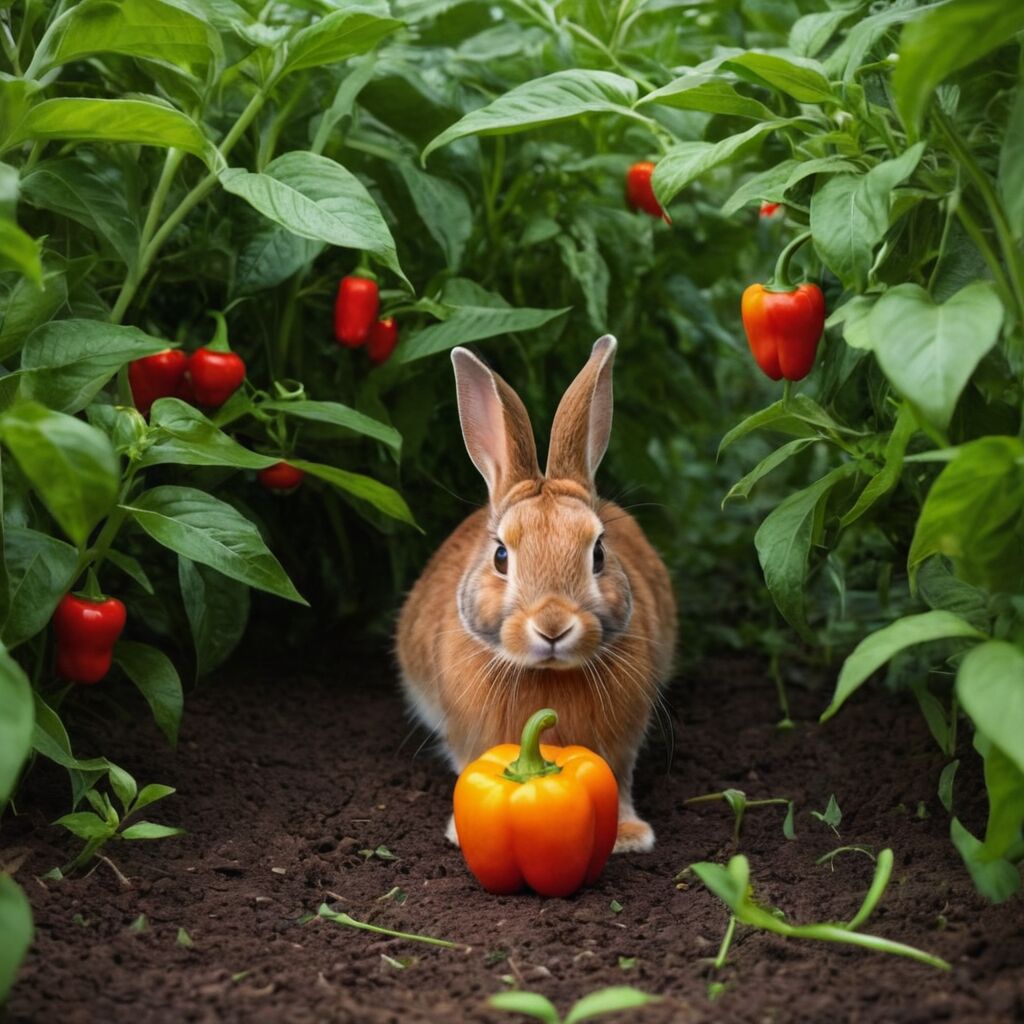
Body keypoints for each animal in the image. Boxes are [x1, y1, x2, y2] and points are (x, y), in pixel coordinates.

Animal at [395, 337, 675, 856]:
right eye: (501, 556)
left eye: (599, 553)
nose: (552, 626)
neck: (547, 674)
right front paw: (460, 833)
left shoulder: (623, 744)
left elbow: (621, 782)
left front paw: (629, 837)